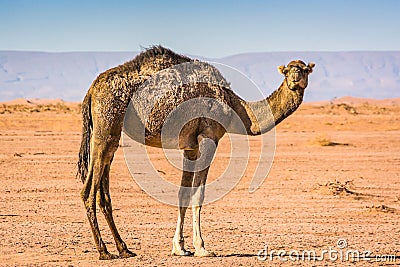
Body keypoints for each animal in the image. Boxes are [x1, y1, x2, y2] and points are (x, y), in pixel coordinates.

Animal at [76, 45, 314, 260]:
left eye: (304, 69)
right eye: (288, 70)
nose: (295, 78)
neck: (236, 106)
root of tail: (91, 91)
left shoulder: (190, 147)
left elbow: (183, 193)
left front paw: (179, 247)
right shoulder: (208, 138)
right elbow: (199, 194)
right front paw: (201, 248)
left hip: (110, 135)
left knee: (104, 194)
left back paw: (124, 249)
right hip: (106, 127)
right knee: (88, 191)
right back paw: (104, 251)